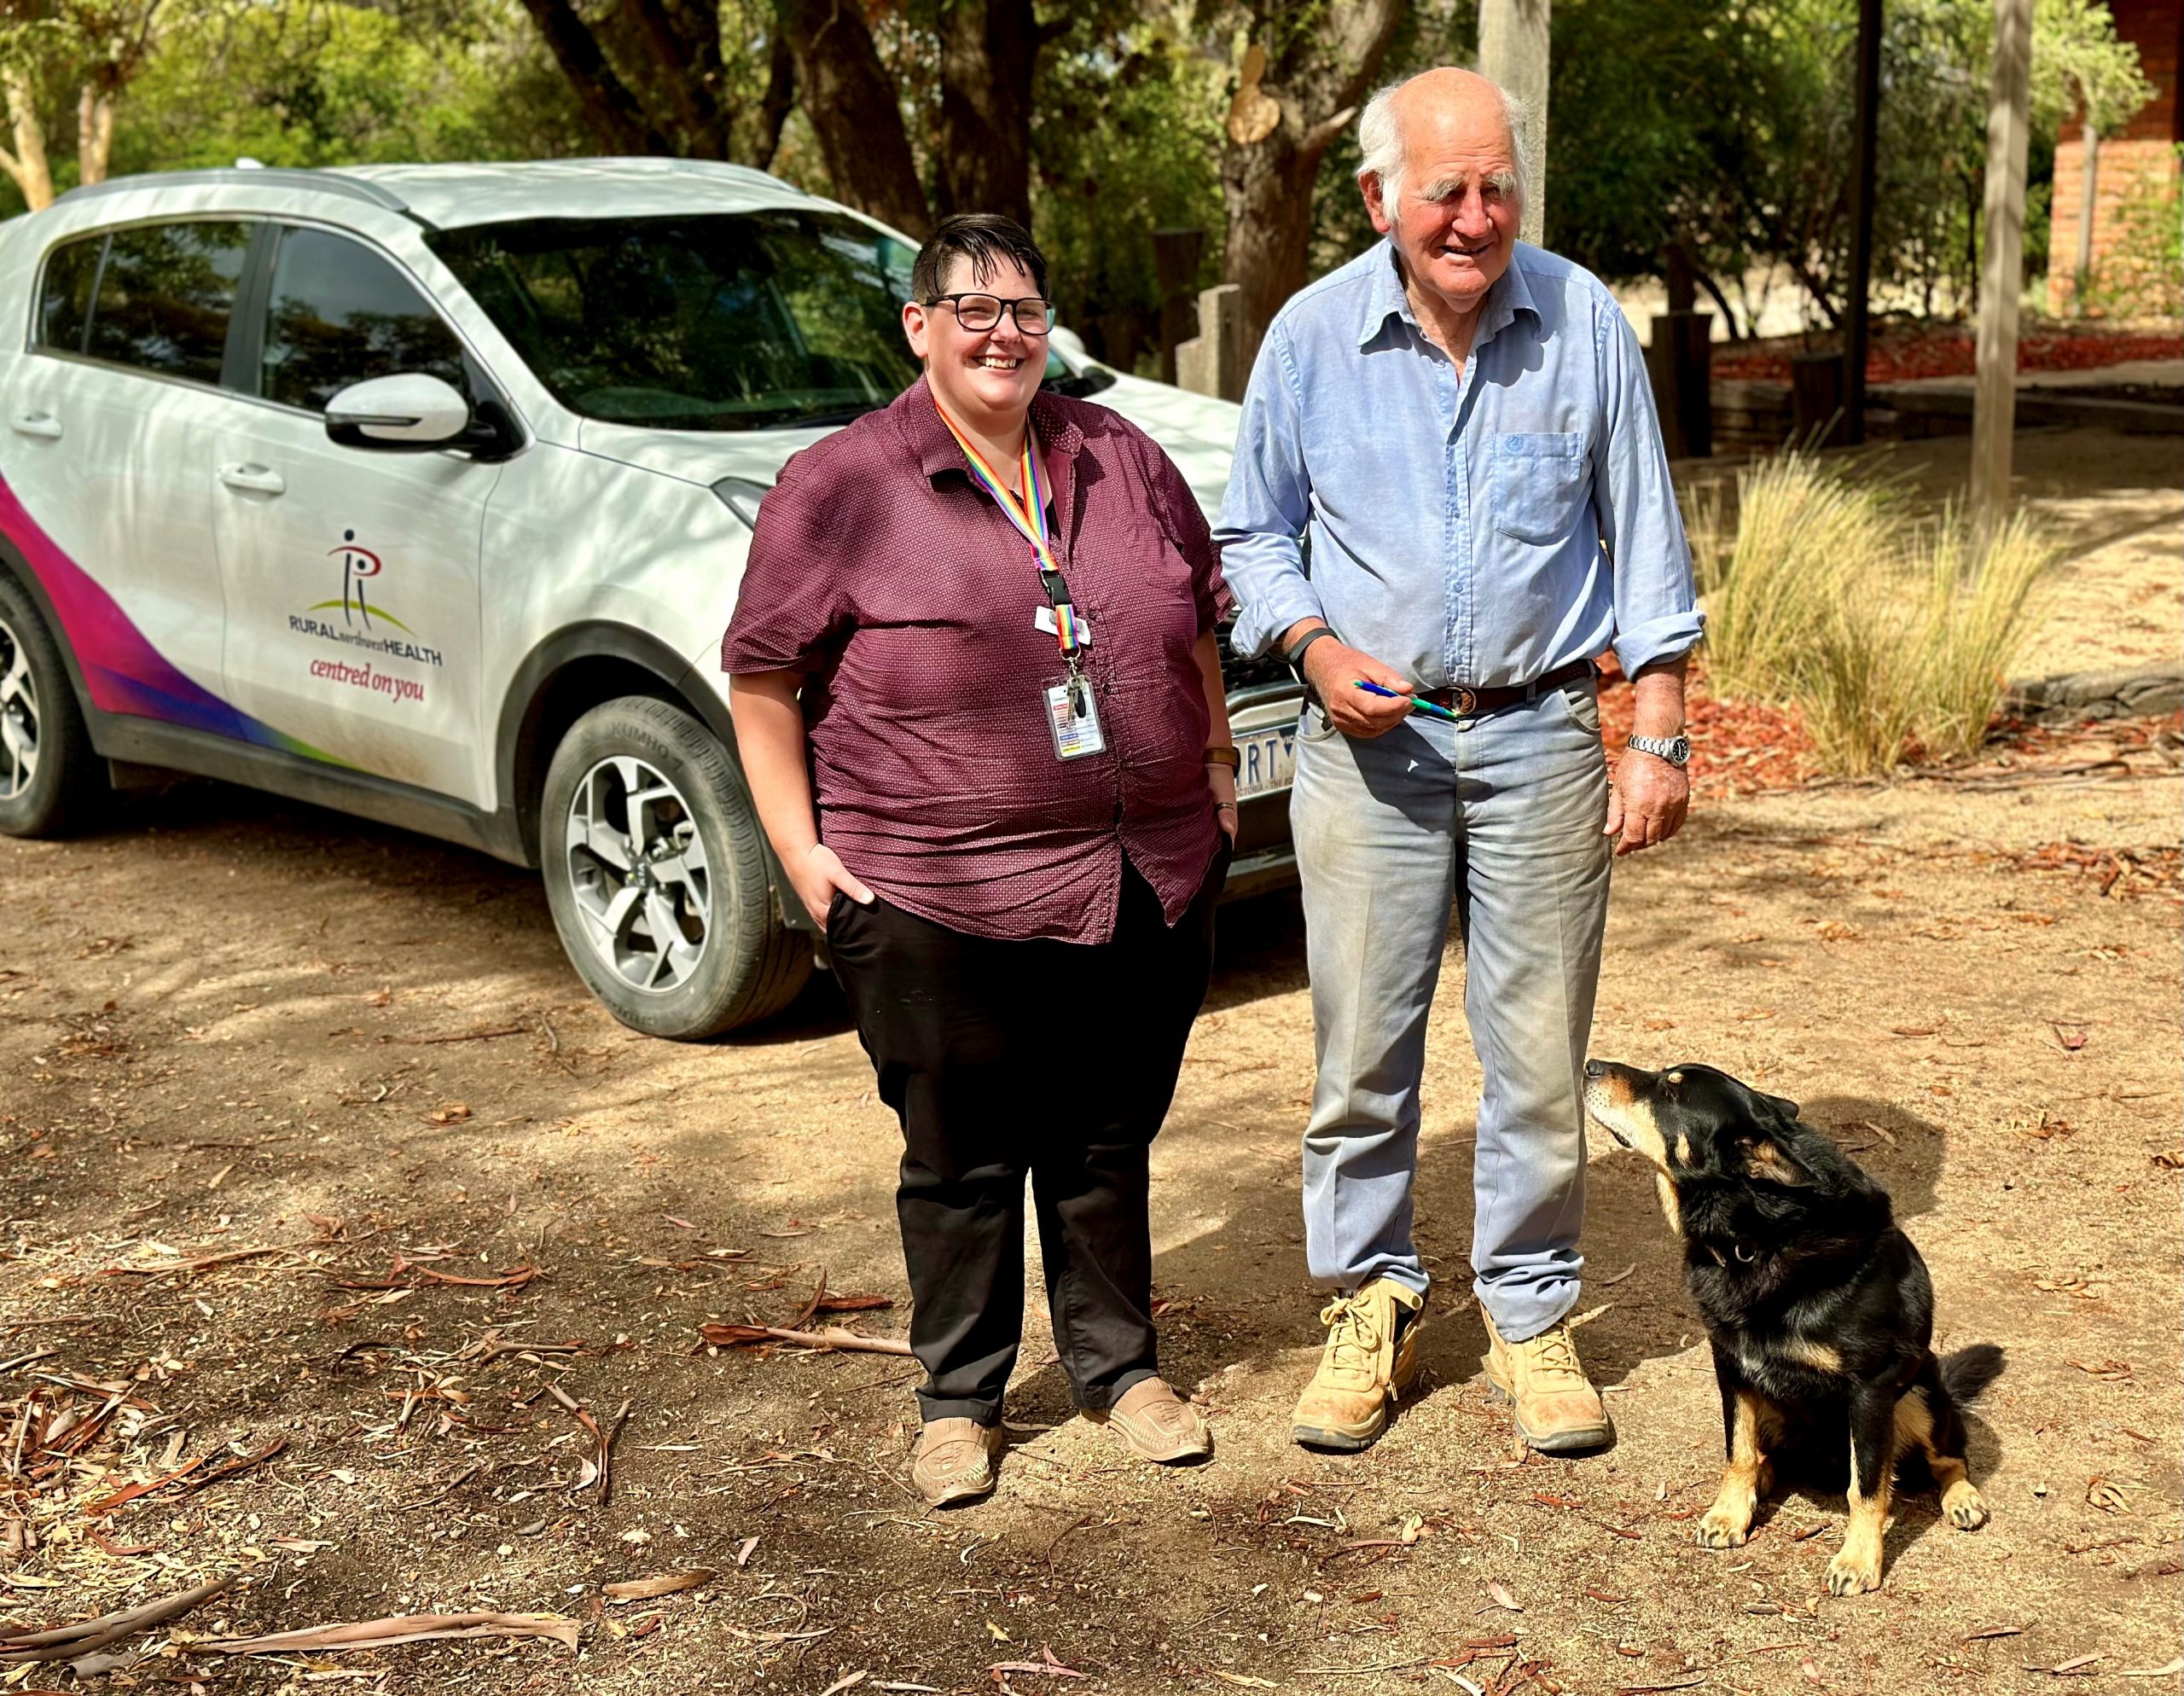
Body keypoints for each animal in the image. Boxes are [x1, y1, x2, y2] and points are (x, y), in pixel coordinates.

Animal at [1581, 1052, 1991, 1597]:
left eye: (1670, 1092)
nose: (1589, 1064)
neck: (1756, 1235)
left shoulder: (1871, 1389)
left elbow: (1866, 1488)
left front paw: (1859, 1561)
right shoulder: (1732, 1367)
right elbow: (1737, 1451)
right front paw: (1730, 1514)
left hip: (1920, 1395)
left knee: (1949, 1456)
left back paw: (1961, 1496)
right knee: (1768, 1456)